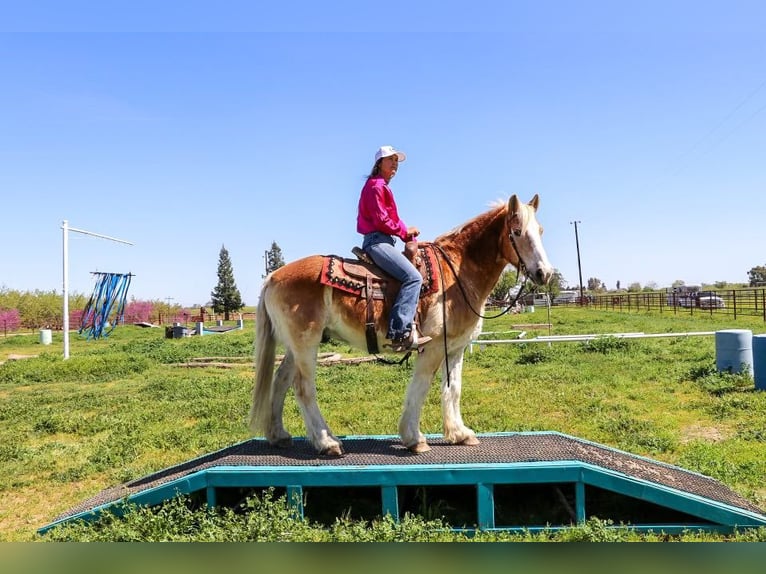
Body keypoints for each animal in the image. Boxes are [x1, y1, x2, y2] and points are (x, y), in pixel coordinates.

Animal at [249, 196, 556, 456]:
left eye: (540, 231)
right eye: (517, 232)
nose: (545, 273)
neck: (457, 273)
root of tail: (273, 276)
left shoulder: (456, 348)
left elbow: (453, 389)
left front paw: (459, 433)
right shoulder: (432, 347)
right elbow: (421, 387)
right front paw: (414, 438)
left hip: (295, 346)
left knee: (280, 381)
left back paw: (278, 435)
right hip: (306, 344)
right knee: (303, 388)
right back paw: (327, 442)